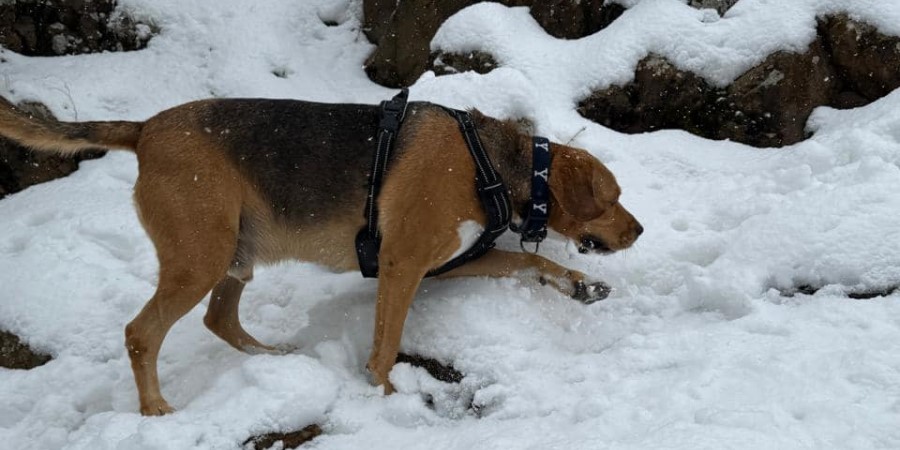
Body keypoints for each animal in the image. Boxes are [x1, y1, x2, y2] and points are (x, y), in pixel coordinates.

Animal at [0, 94, 644, 414]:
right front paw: (387, 399)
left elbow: (536, 261)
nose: (638, 231)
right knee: (142, 332)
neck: (494, 163)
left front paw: (580, 284)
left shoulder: (448, 263)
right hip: (200, 255)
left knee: (219, 318)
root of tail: (145, 128)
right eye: (612, 198)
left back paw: (275, 357)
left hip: (238, 250)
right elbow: (385, 345)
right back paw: (156, 410)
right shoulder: (403, 266)